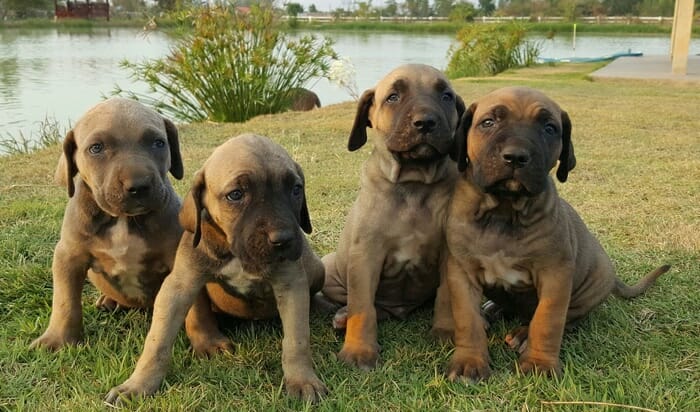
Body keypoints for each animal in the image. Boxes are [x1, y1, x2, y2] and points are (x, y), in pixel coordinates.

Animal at [30, 97, 183, 350]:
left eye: (159, 143)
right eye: (96, 148)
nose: (139, 185)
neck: (123, 219)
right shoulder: (68, 256)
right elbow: (64, 301)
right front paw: (57, 339)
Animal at [322, 63, 464, 370]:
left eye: (446, 96)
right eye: (393, 97)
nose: (426, 122)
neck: (413, 183)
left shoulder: (449, 253)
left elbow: (447, 296)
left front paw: (446, 332)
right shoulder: (365, 256)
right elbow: (363, 308)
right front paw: (359, 350)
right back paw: (342, 317)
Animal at [446, 86, 668, 380]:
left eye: (549, 128)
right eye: (488, 122)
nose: (515, 156)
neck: (504, 211)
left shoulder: (555, 275)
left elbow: (547, 321)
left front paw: (539, 363)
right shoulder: (461, 274)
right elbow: (467, 321)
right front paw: (469, 362)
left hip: (590, 286)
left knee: (567, 318)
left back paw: (523, 334)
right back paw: (494, 309)